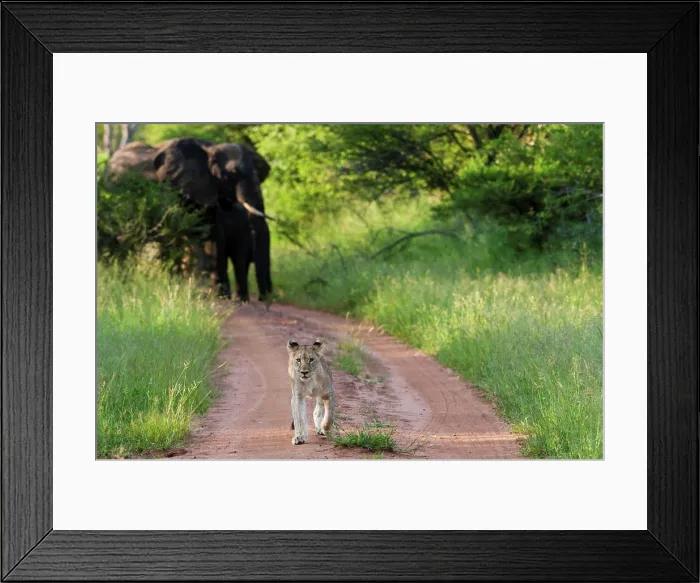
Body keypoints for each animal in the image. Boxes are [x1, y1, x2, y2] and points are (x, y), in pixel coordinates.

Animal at [105, 138, 274, 303]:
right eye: (231, 175)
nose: (264, 299)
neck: (210, 149)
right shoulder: (175, 188)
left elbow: (211, 234)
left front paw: (218, 295)